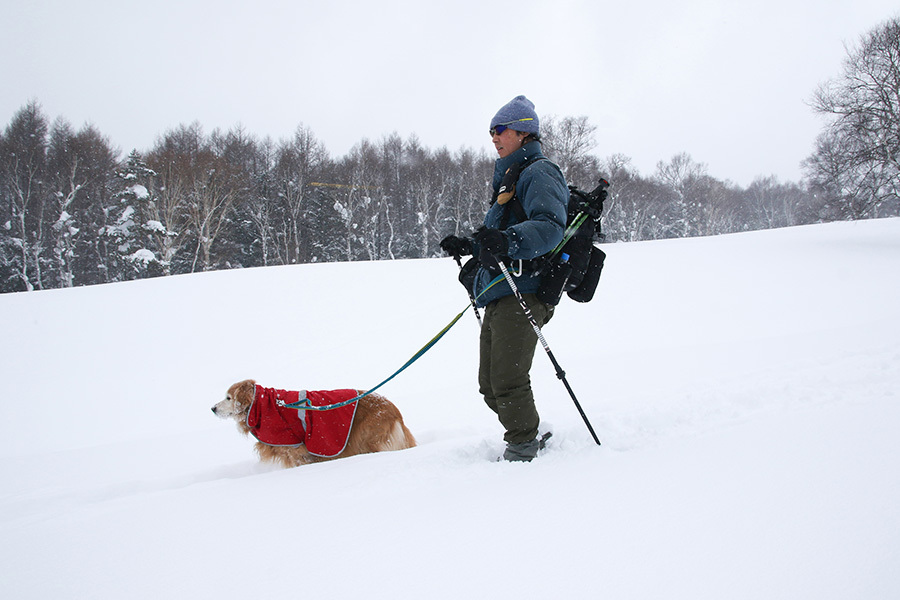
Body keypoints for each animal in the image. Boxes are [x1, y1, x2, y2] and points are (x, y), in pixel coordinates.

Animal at [213, 380, 416, 468]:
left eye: (228, 398)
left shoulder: (294, 448)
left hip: (368, 438)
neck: (264, 406)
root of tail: (393, 409)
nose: (212, 408)